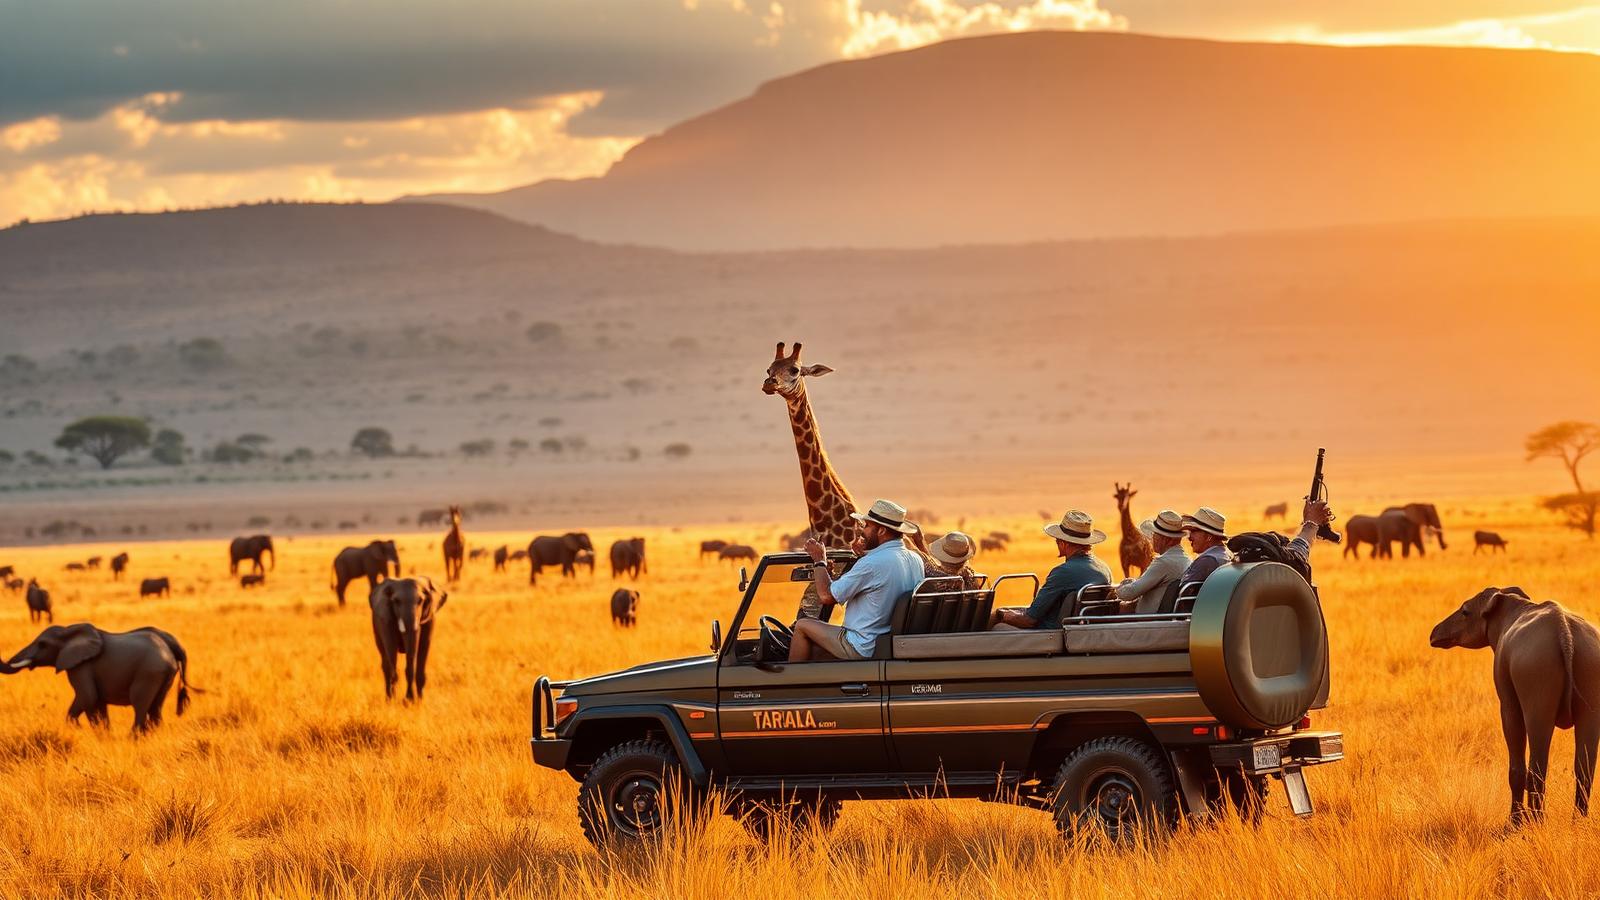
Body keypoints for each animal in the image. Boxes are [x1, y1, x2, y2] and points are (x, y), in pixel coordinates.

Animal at [0, 623, 198, 733]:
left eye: (42, 644)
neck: (69, 631)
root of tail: (171, 645)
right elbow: (99, 703)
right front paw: (104, 735)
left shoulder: (81, 666)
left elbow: (88, 698)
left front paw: (85, 732)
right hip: (164, 675)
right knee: (156, 708)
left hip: (149, 673)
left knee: (140, 704)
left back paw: (133, 738)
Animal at [1430, 586, 1600, 823]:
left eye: (1465, 611)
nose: (1434, 633)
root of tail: (1565, 633)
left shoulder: (1508, 705)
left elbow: (1516, 768)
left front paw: (1514, 823)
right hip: (1591, 690)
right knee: (1585, 768)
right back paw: (1578, 823)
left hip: (1536, 695)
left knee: (1537, 766)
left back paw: (1536, 822)